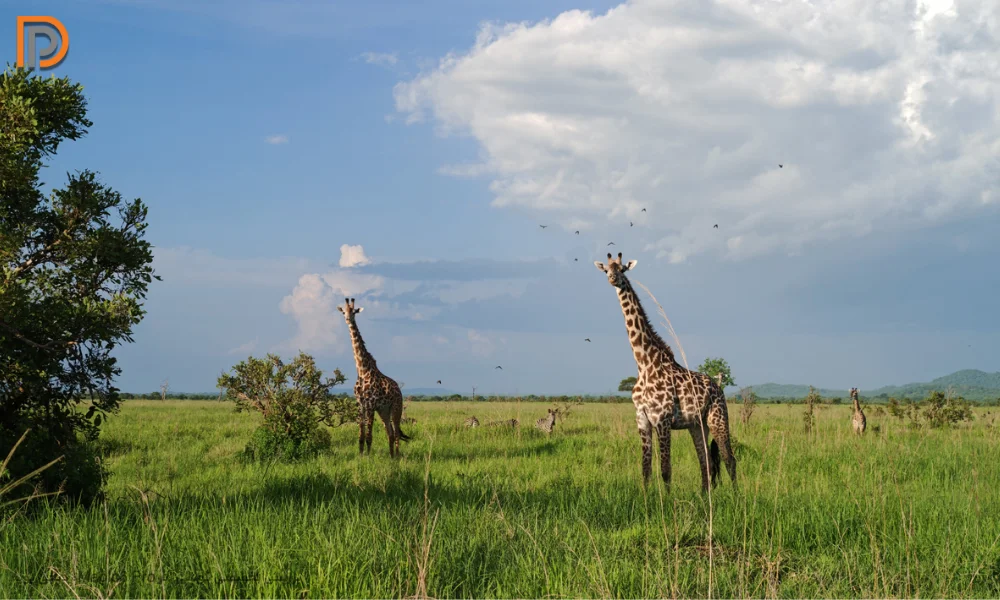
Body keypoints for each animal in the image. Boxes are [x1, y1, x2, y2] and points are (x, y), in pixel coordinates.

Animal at [338, 298, 412, 458]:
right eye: (344, 312)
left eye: (354, 312)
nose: (348, 320)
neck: (362, 371)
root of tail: (399, 390)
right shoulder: (360, 405)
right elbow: (360, 435)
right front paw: (360, 456)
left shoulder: (371, 404)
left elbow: (369, 436)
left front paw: (368, 457)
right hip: (384, 411)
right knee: (390, 433)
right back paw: (391, 457)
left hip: (396, 408)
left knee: (396, 433)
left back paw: (397, 456)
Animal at [592, 251, 736, 490]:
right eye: (606, 270)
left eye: (622, 269)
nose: (613, 279)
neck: (644, 363)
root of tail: (718, 386)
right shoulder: (642, 419)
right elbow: (646, 469)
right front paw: (646, 497)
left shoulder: (663, 419)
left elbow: (666, 470)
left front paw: (667, 499)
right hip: (697, 425)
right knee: (706, 461)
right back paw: (704, 495)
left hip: (718, 418)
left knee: (728, 459)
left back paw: (736, 495)